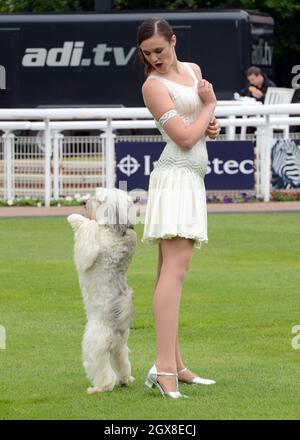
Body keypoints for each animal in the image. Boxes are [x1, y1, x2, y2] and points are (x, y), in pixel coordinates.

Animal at [67, 187, 137, 394]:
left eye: (98, 199)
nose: (83, 203)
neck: (116, 230)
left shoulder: (91, 247)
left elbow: (89, 228)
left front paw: (75, 219)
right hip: (120, 344)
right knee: (121, 360)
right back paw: (125, 379)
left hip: (94, 343)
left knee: (103, 369)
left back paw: (100, 387)